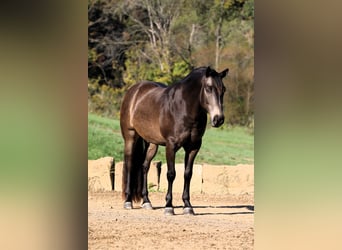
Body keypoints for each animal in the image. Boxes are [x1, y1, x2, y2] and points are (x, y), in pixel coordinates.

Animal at [119, 66, 228, 215]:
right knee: (130, 165)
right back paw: (128, 201)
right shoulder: (171, 146)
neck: (183, 108)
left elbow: (188, 174)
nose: (219, 119)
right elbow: (171, 174)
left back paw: (146, 201)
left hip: (152, 143)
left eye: (224, 89)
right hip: (130, 137)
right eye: (209, 88)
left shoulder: (193, 147)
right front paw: (169, 206)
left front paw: (188, 206)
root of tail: (134, 90)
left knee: (144, 166)